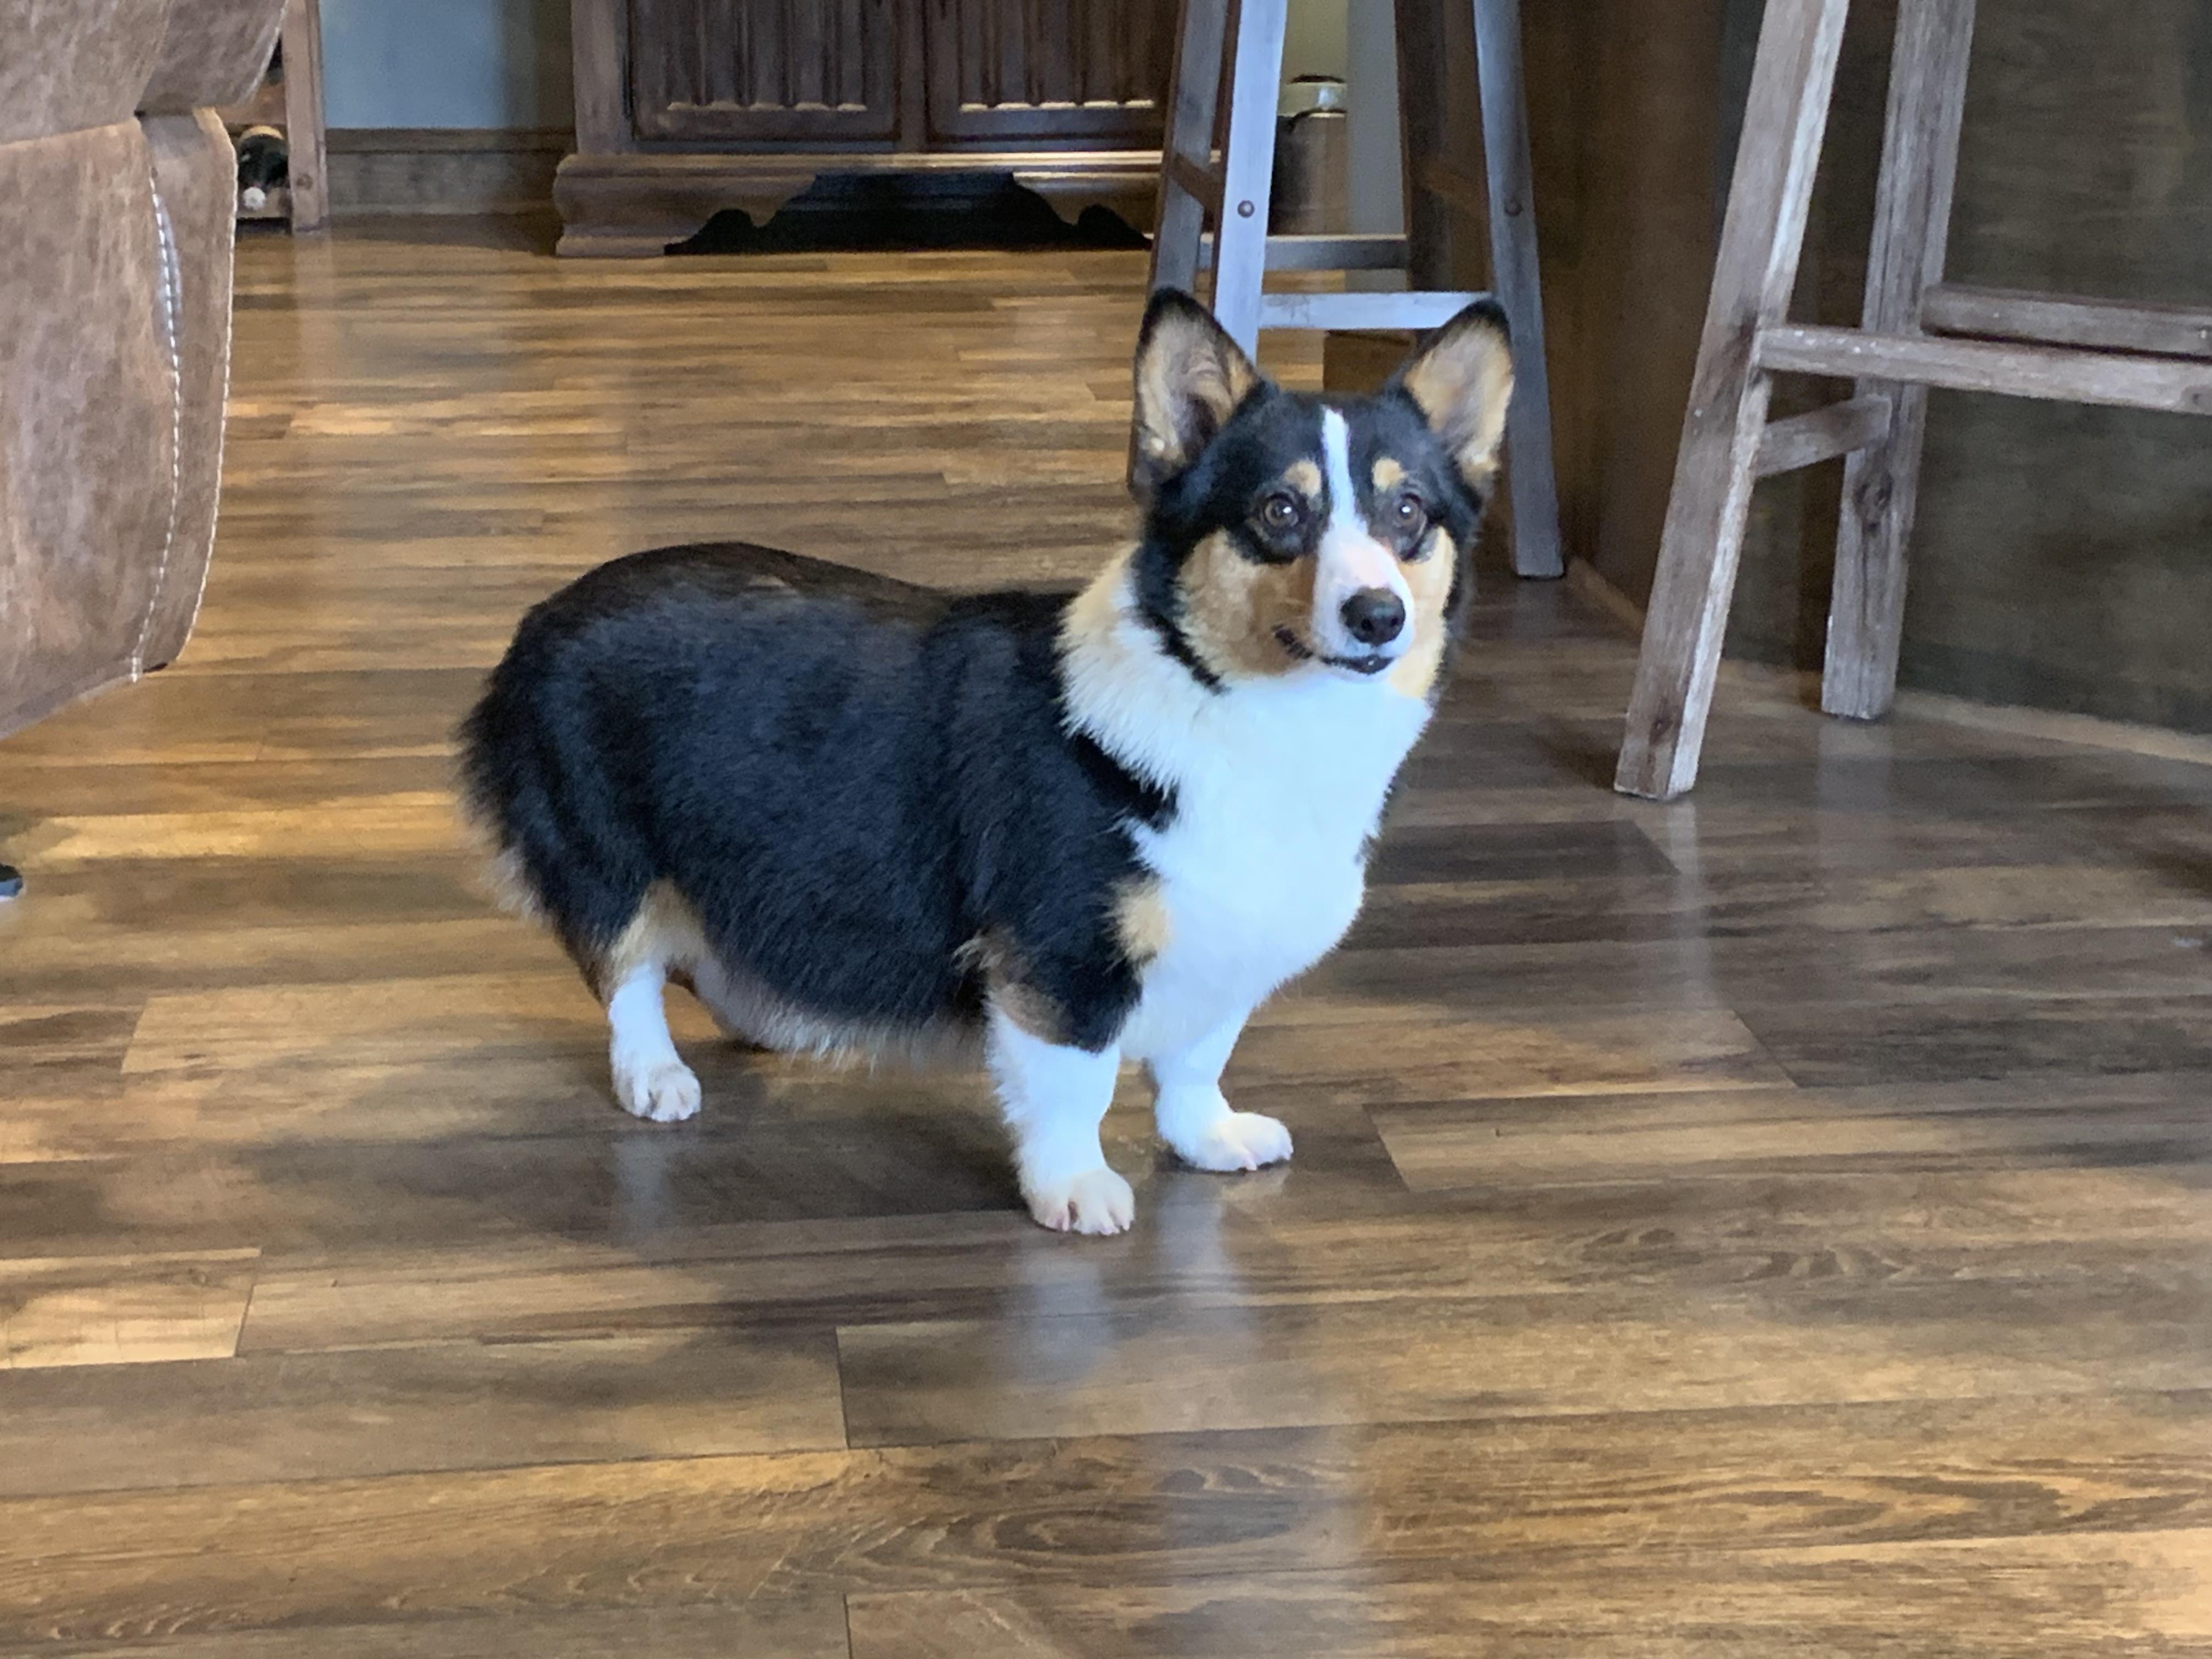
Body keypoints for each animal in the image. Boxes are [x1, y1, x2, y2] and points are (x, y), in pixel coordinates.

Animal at [458, 288, 1513, 1234]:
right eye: (1280, 509)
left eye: (1408, 511)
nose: (1377, 615)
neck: (1242, 707)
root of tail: (540, 617)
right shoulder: (1059, 961)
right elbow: (1077, 1086)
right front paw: (1073, 1190)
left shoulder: (1226, 950)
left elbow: (1196, 1063)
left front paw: (1208, 1137)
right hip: (608, 850)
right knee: (629, 970)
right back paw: (655, 1074)